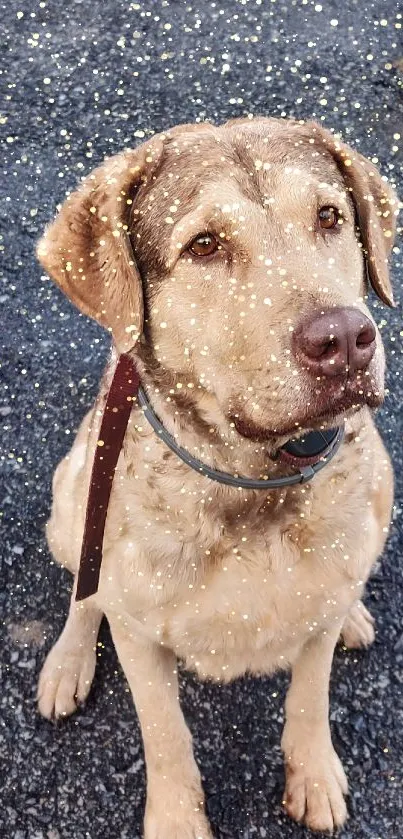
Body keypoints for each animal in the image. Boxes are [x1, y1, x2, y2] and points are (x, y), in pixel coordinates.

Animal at [36, 120, 400, 839]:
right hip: (71, 497)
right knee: (83, 592)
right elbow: (166, 736)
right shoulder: (138, 635)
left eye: (330, 217)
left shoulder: (317, 609)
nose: (345, 340)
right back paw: (68, 657)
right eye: (204, 244)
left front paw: (313, 774)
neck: (255, 483)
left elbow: (309, 695)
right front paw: (179, 819)